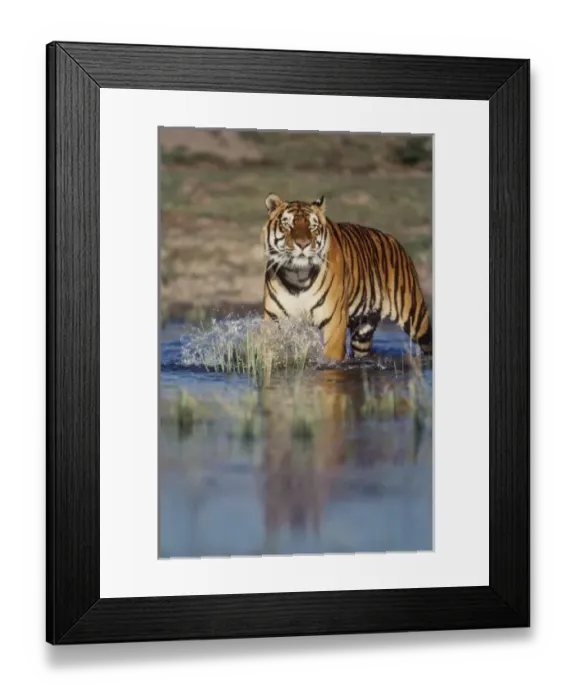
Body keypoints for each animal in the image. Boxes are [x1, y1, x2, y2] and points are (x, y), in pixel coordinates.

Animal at [262, 193, 432, 361]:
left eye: (313, 227)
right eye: (287, 225)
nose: (303, 244)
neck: (298, 276)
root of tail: (393, 239)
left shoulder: (334, 322)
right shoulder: (273, 318)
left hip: (416, 318)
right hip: (363, 332)